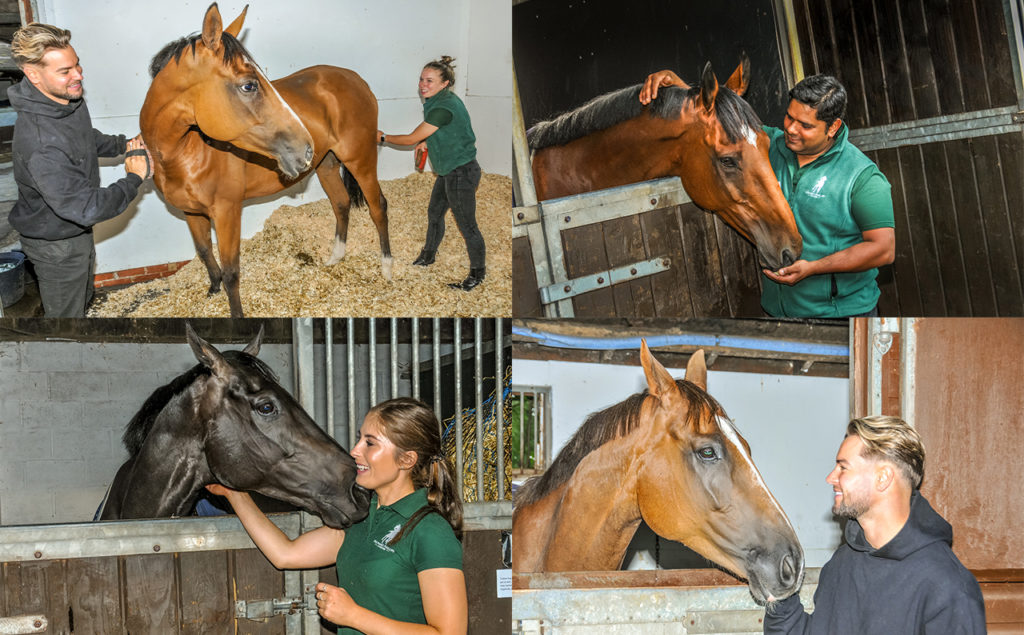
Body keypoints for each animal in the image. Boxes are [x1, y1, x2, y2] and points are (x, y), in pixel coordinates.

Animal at [140, 1, 387, 315]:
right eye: (249, 85)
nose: (305, 148)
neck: (186, 149)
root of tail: (357, 79)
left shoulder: (227, 212)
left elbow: (232, 272)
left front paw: (236, 314)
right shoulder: (192, 212)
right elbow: (205, 251)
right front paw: (212, 289)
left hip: (361, 161)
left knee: (378, 207)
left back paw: (387, 269)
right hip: (327, 164)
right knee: (341, 204)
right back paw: (335, 258)